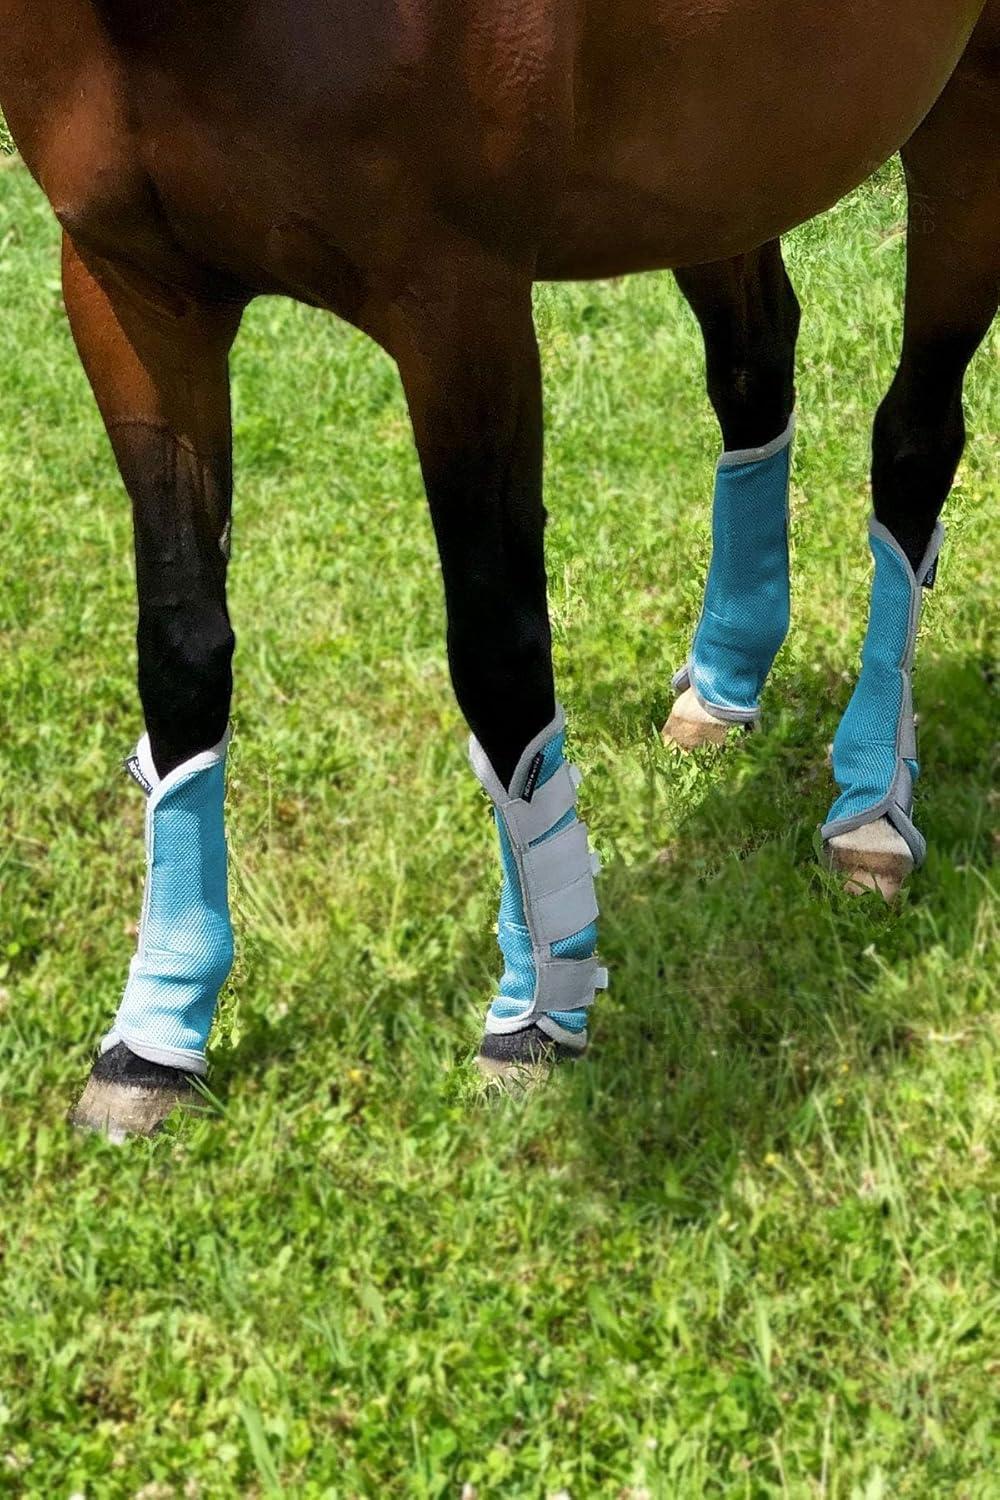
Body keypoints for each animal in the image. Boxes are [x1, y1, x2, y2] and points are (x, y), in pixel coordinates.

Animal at [0, 0, 995, 1136]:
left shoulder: (457, 303)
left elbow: (496, 643)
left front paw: (537, 1009)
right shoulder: (131, 294)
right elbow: (180, 646)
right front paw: (157, 1033)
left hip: (965, 120)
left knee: (914, 441)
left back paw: (871, 802)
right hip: (720, 157)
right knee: (755, 369)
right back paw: (726, 680)